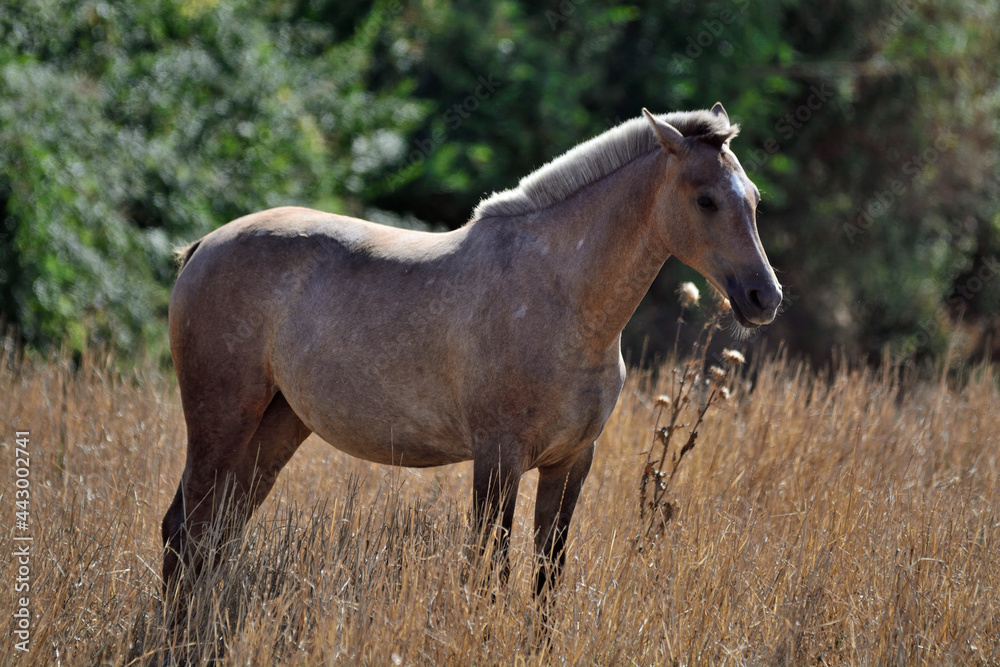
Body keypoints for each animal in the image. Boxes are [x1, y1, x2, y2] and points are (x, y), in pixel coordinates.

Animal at [162, 102, 780, 608]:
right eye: (705, 200)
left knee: (215, 535)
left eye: (753, 200)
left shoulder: (571, 461)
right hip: (221, 423)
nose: (763, 298)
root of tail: (204, 246)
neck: (561, 296)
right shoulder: (498, 458)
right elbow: (489, 572)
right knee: (182, 530)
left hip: (275, 428)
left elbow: (546, 576)